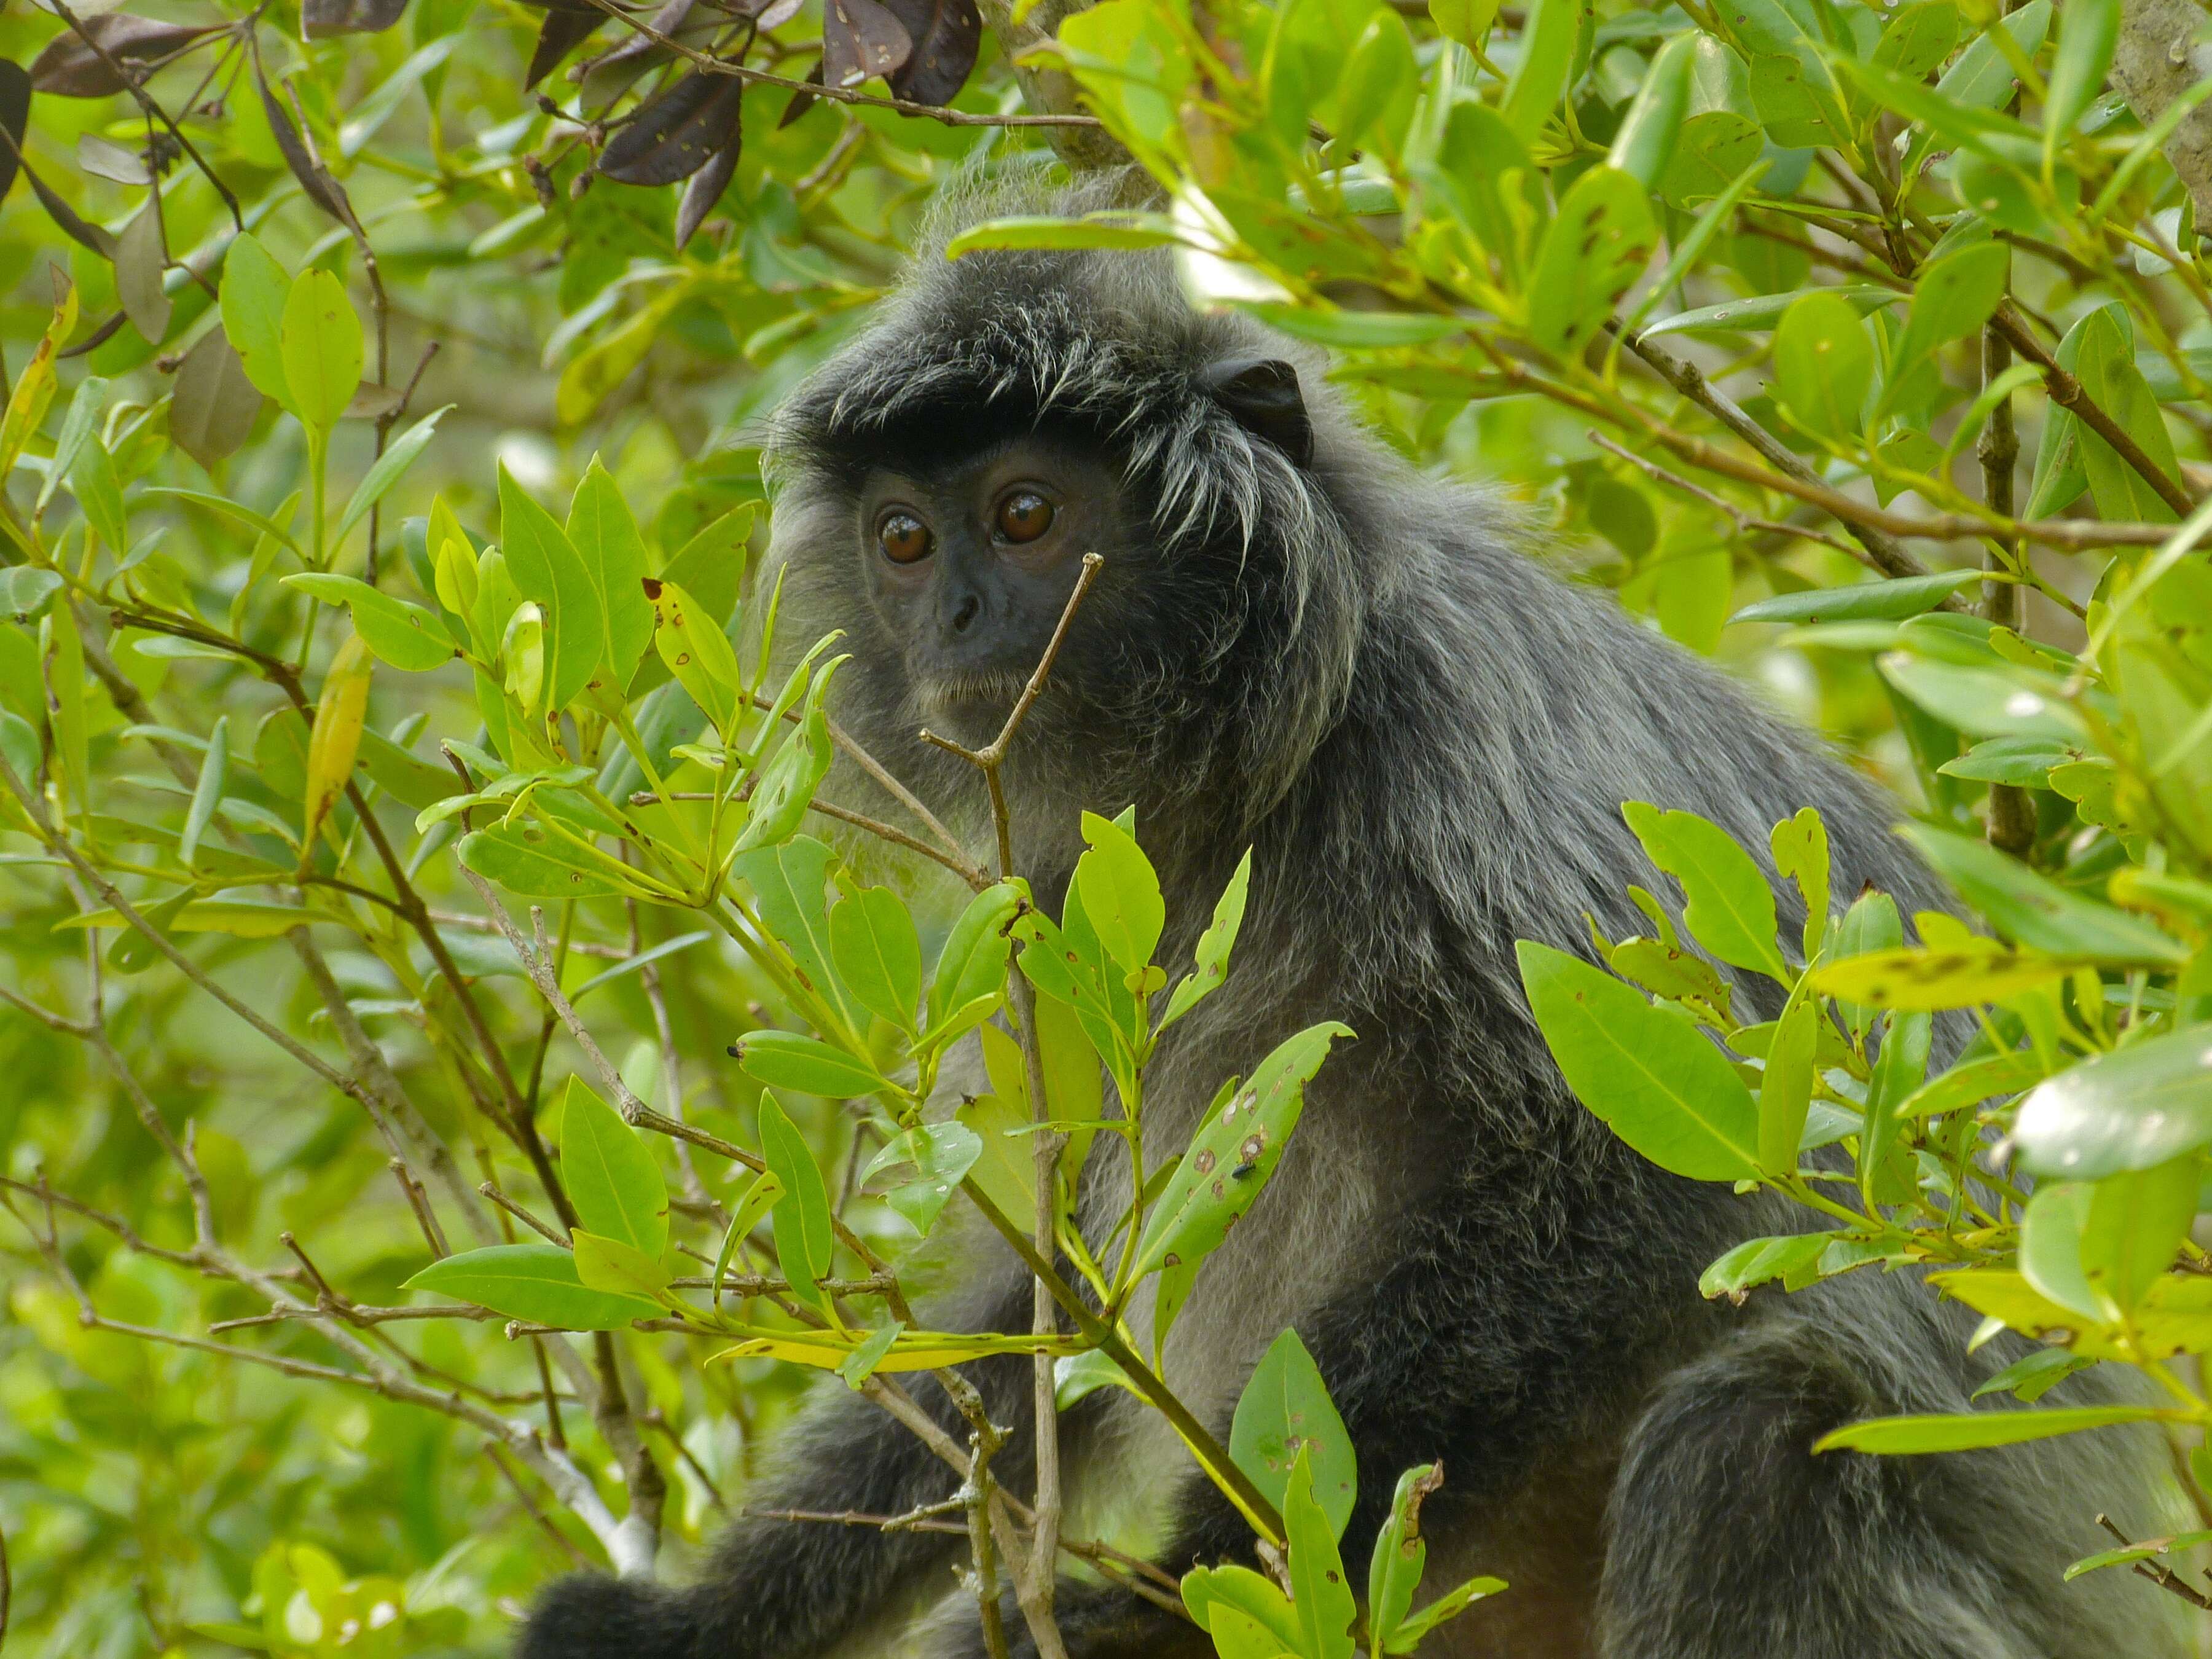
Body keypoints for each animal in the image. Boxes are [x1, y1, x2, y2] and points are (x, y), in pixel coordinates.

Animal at [522, 181, 2194, 1659]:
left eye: (1023, 512)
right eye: (903, 541)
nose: (954, 622)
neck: (1244, 783)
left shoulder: (1453, 748)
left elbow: (1646, 1167)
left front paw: (1181, 1582)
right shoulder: (1073, 906)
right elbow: (1050, 1295)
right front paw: (693, 1623)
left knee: (1752, 1444)